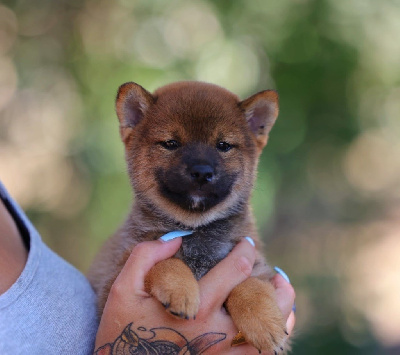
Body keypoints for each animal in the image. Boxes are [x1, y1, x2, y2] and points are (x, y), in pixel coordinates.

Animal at [88, 81, 288, 354]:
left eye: (223, 145)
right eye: (171, 143)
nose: (202, 172)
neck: (197, 231)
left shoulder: (258, 265)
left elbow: (251, 285)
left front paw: (264, 321)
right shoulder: (113, 278)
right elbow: (165, 261)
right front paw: (180, 289)